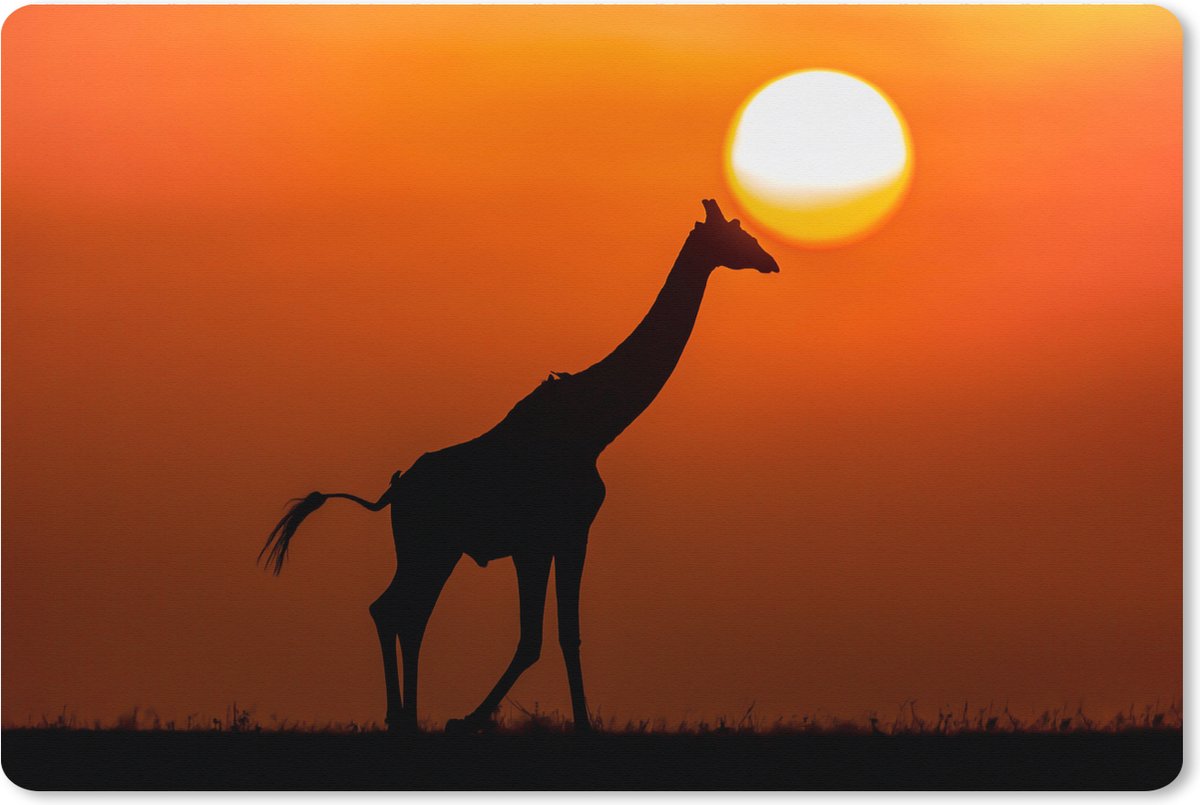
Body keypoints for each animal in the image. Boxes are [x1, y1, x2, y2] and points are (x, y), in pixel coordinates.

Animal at [260, 198, 780, 734]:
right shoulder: (550, 537)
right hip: (427, 545)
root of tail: (394, 492)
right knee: (399, 610)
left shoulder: (556, 537)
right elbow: (542, 636)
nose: (771, 261)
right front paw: (485, 720)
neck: (596, 426)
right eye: (733, 235)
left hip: (435, 549)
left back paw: (405, 716)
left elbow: (556, 634)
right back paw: (403, 717)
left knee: (400, 610)